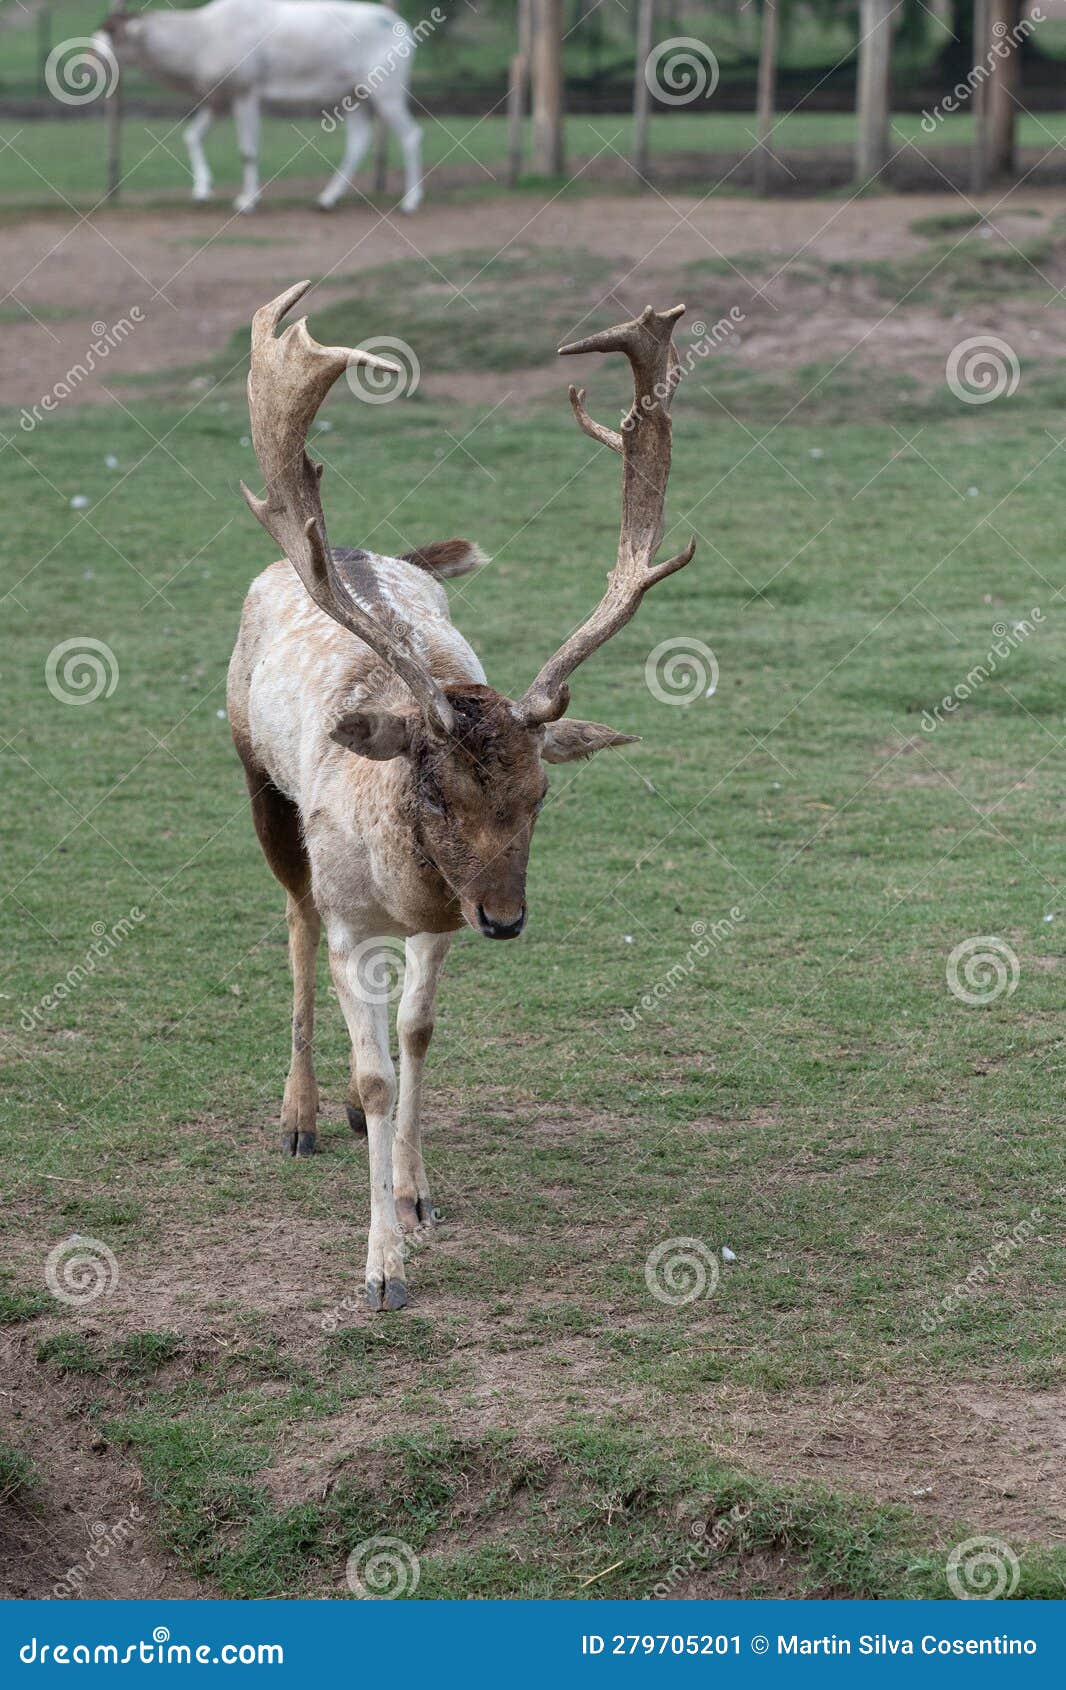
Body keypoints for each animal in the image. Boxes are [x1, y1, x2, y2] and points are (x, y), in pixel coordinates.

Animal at [228, 280, 696, 1304]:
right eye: (435, 792)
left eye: (542, 795)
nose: (509, 920)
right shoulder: (355, 912)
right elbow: (371, 1066)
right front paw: (381, 1271)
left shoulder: (441, 917)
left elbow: (415, 1034)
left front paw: (415, 1197)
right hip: (256, 780)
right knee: (291, 919)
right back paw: (300, 1116)